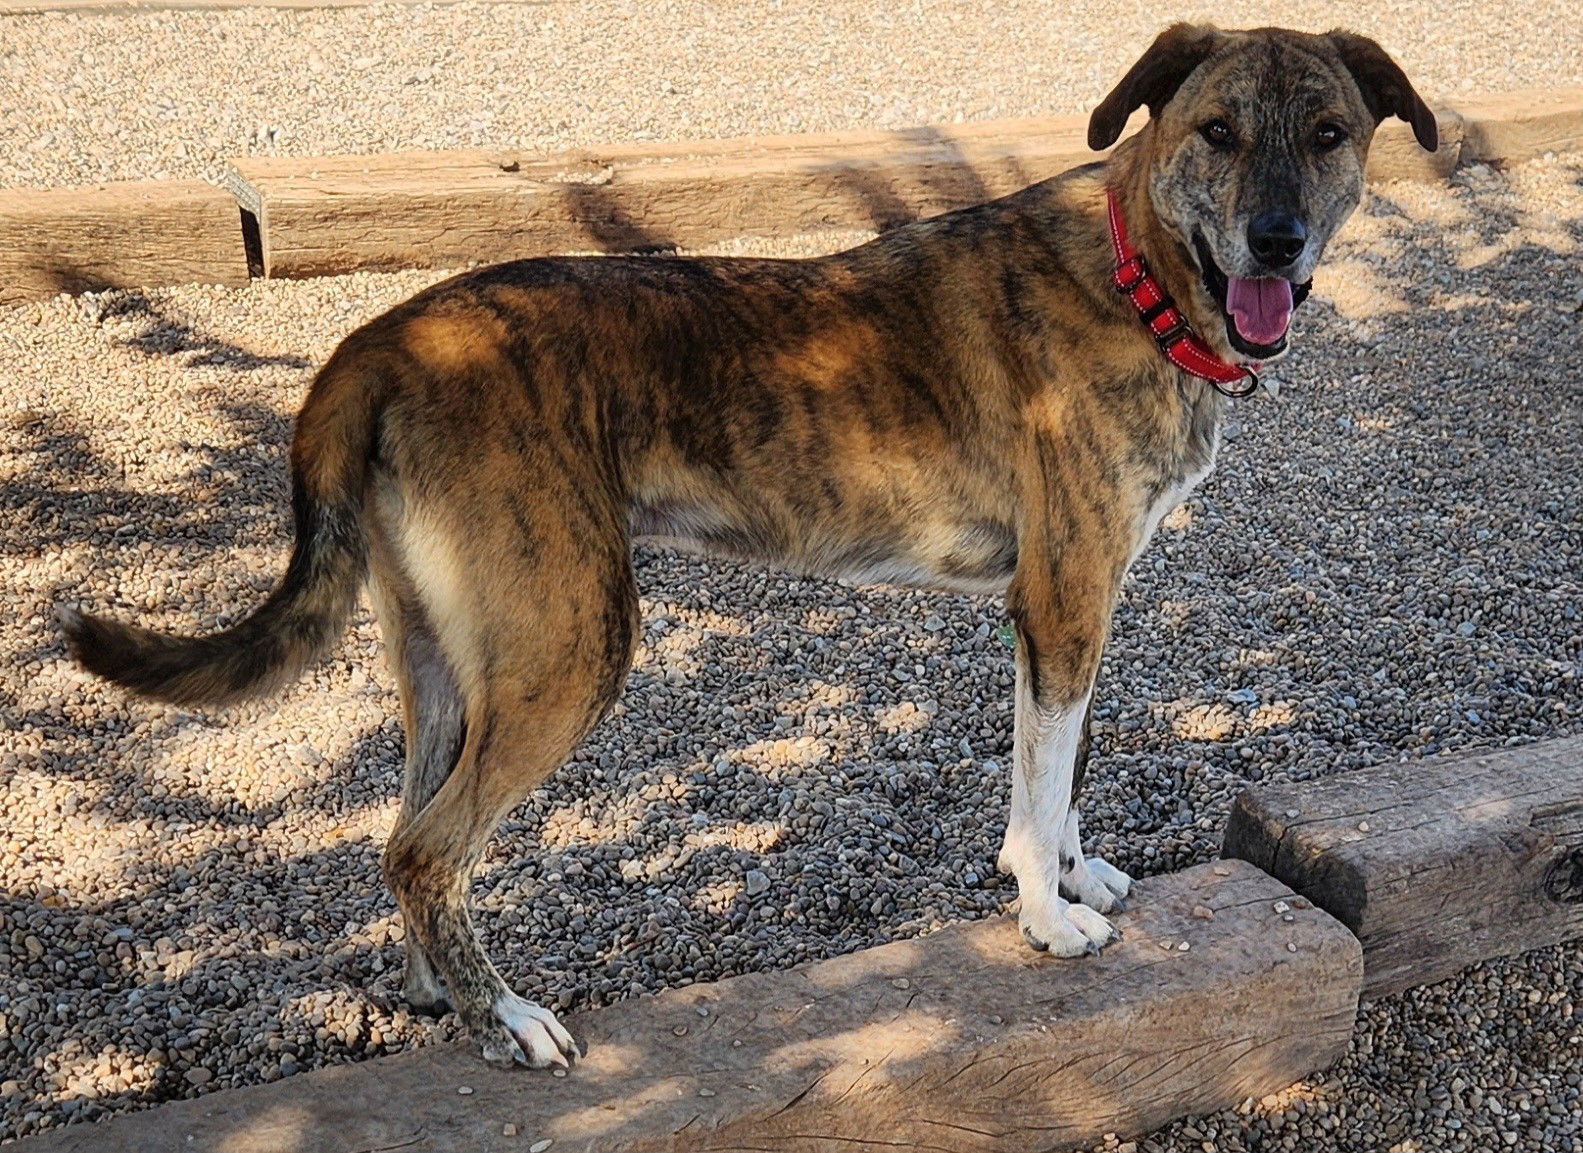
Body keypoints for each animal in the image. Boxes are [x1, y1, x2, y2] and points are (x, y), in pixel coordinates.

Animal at [68, 24, 1443, 1070]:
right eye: (1215, 132)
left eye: (1327, 132)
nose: (1275, 239)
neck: (1138, 273)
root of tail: (383, 339)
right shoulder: (1064, 598)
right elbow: (1041, 778)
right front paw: (1044, 921)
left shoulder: (1067, 607)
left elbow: (1058, 767)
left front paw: (1074, 874)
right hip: (571, 645)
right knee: (426, 845)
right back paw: (506, 1018)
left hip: (451, 666)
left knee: (409, 839)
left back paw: (437, 990)